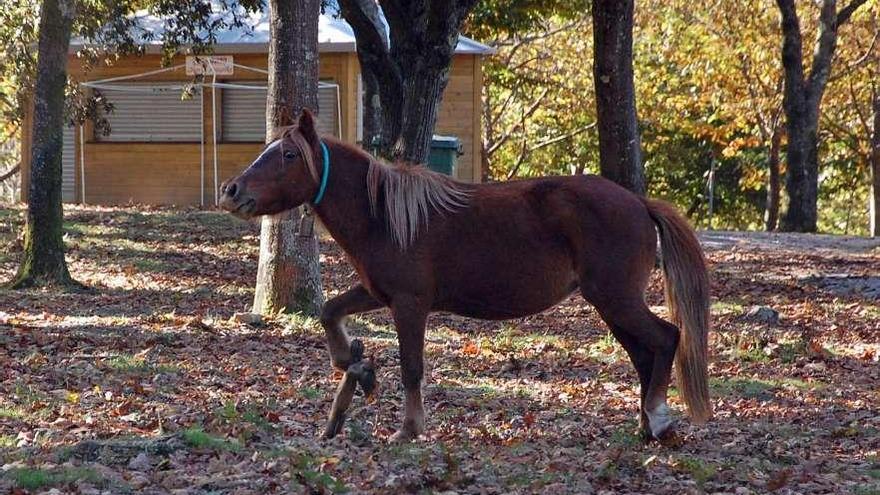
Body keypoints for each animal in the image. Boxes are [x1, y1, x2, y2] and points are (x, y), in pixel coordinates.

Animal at [218, 111, 708, 442]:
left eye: (286, 155)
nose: (232, 191)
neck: (385, 215)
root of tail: (639, 202)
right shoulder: (378, 292)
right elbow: (329, 313)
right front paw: (357, 368)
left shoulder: (410, 304)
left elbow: (412, 366)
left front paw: (409, 428)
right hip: (610, 304)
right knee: (644, 354)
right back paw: (647, 426)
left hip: (615, 299)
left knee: (665, 339)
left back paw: (658, 418)